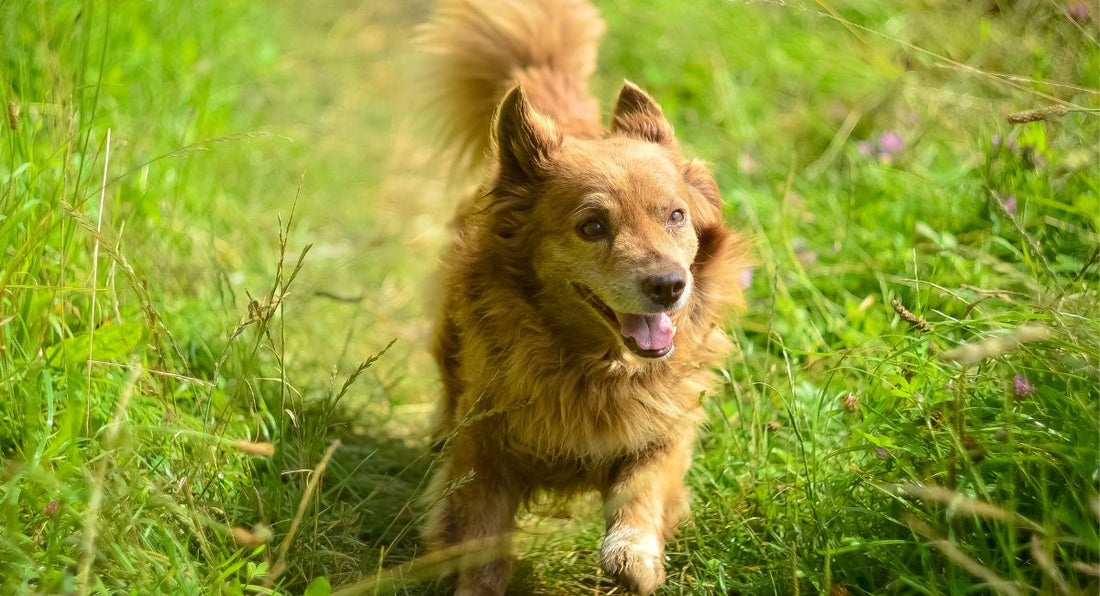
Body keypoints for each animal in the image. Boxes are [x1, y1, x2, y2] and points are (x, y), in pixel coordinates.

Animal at [418, 2, 748, 593]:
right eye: (593, 226)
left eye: (675, 215)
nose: (669, 286)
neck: (594, 369)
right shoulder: (484, 447)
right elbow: (479, 539)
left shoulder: (665, 428)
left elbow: (644, 486)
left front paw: (632, 554)